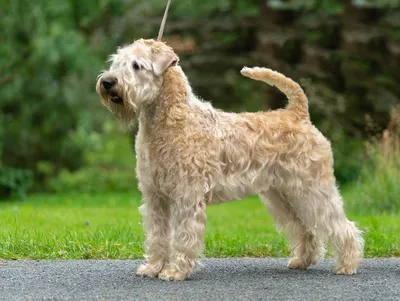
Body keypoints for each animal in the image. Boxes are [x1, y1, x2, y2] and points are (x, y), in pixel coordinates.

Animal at [95, 38, 364, 280]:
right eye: (116, 62)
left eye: (137, 65)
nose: (108, 82)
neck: (168, 120)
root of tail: (298, 115)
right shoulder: (155, 197)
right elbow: (157, 236)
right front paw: (153, 268)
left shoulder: (186, 196)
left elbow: (183, 237)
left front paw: (175, 272)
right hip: (283, 194)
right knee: (304, 228)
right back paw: (302, 261)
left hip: (312, 189)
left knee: (341, 225)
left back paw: (347, 264)